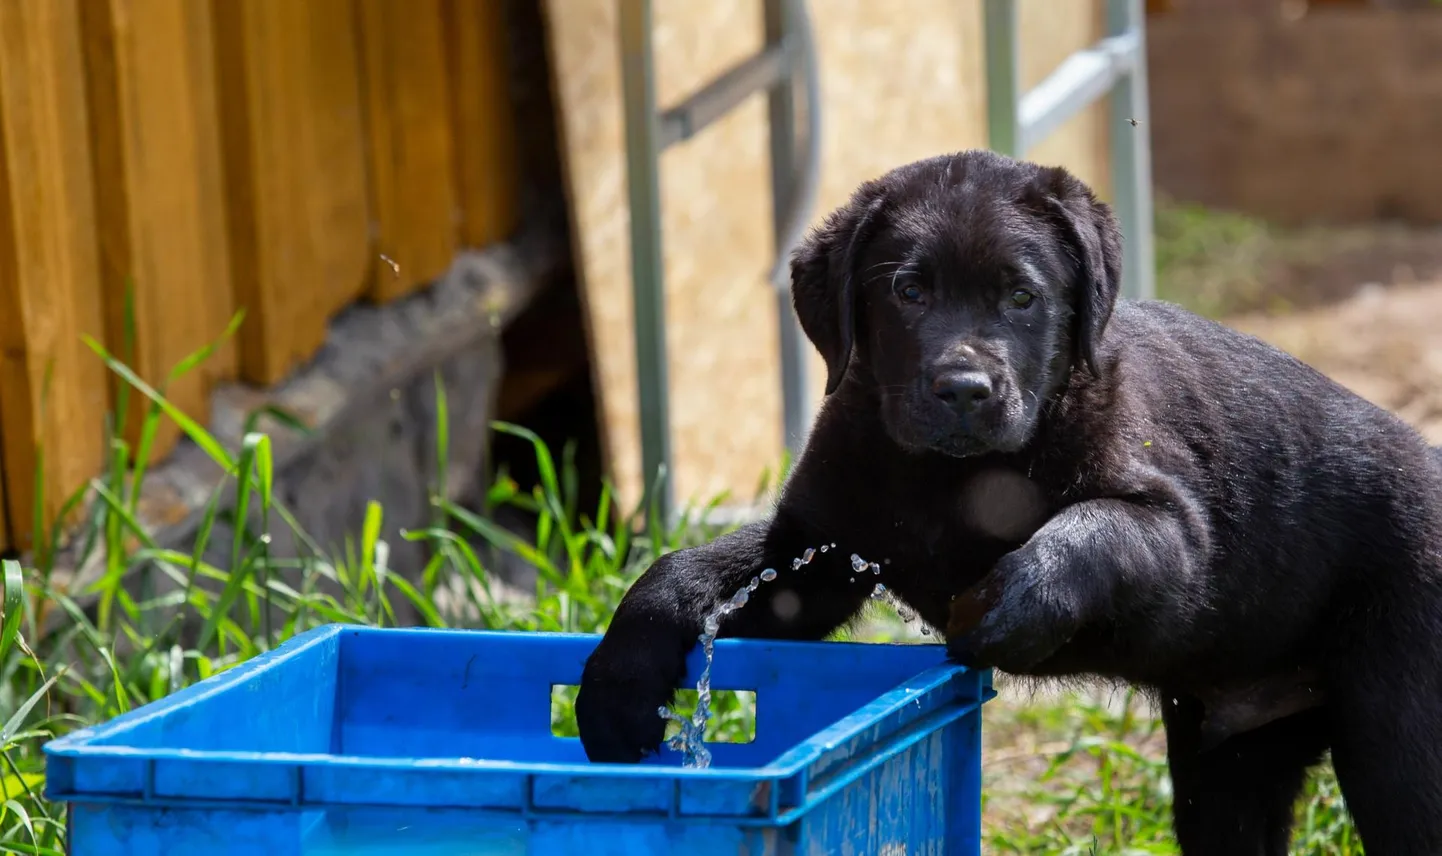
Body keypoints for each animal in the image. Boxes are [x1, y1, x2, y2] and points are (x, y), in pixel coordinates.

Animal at [573, 149, 1442, 847]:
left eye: (1022, 297)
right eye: (909, 291)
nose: (964, 388)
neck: (953, 478)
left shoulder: (1178, 533)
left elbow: (1093, 527)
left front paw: (1009, 604)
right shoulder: (817, 550)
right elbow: (683, 572)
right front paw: (616, 685)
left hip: (1398, 741)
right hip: (1230, 763)